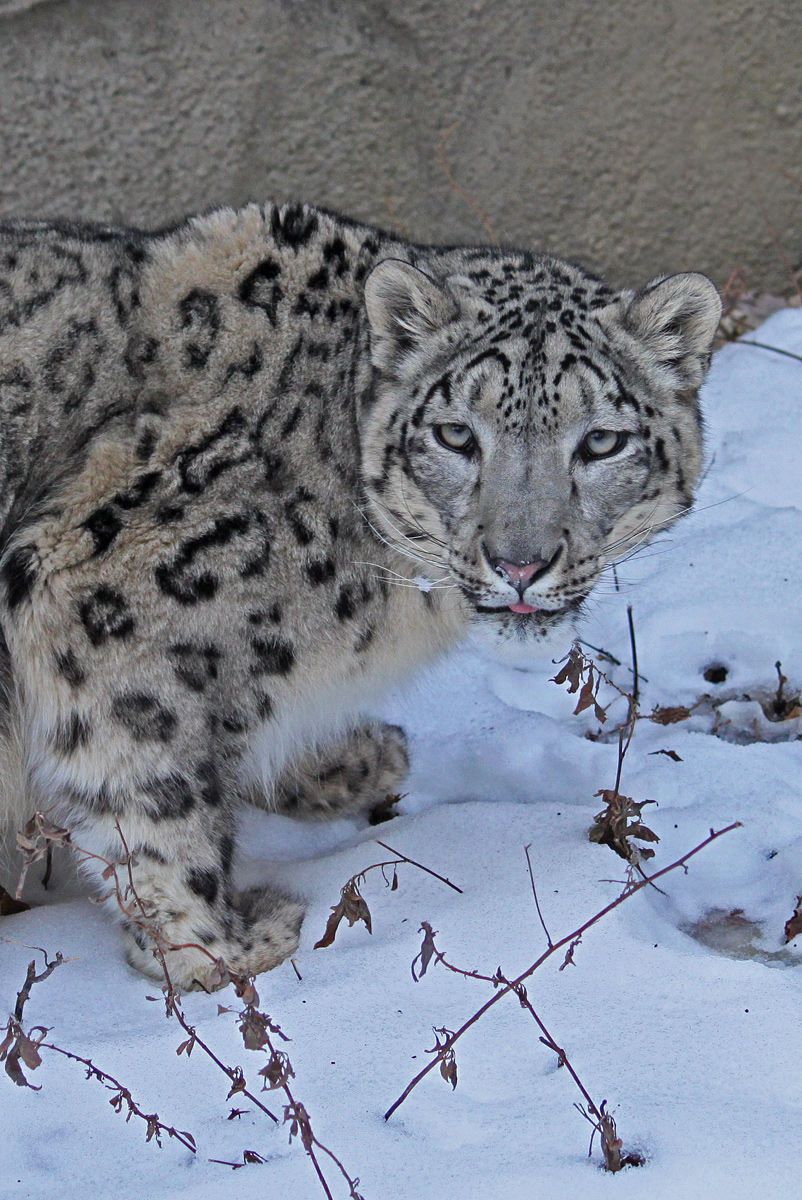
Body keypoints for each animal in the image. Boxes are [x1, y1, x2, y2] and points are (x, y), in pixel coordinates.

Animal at [0, 201, 720, 989]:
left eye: (600, 443)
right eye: (456, 435)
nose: (520, 563)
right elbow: (154, 799)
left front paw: (353, 760)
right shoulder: (97, 604)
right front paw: (222, 952)